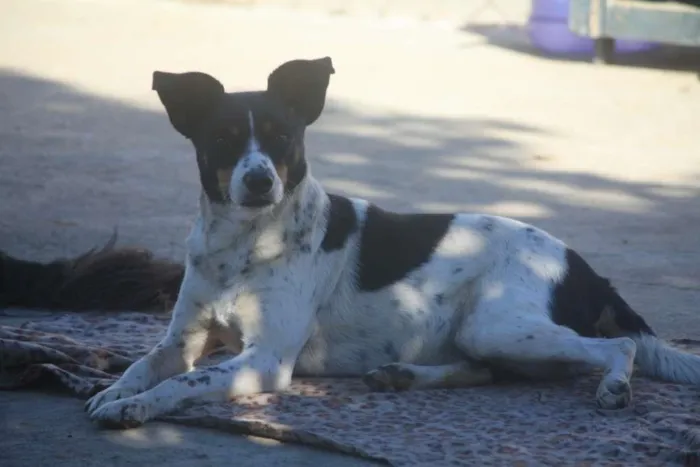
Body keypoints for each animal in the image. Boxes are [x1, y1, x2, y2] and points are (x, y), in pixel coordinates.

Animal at [1, 56, 700, 430]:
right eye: (222, 138)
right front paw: (111, 391)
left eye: (283, 138)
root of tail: (584, 265)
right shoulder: (182, 340)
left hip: (501, 323)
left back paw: (613, 386)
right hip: (485, 334)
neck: (242, 246)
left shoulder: (262, 359)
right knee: (489, 371)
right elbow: (139, 366)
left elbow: (177, 386)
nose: (259, 179)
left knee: (612, 346)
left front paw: (136, 409)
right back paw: (401, 375)